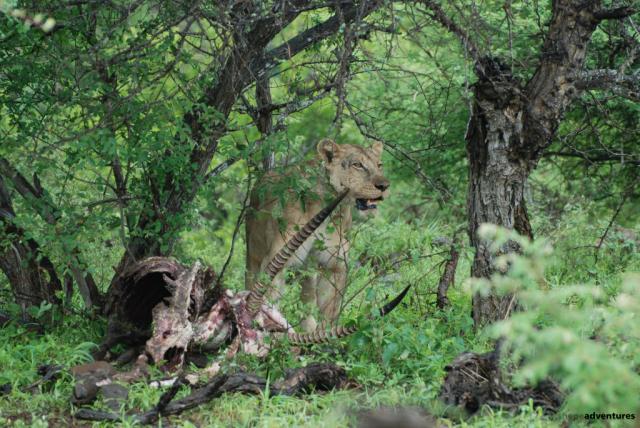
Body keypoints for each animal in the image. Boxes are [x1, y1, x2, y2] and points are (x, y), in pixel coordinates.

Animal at [245, 139, 390, 332]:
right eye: (357, 165)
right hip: (254, 256)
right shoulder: (276, 262)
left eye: (379, 165)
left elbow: (329, 312)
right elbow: (269, 301)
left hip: (307, 270)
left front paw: (325, 337)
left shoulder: (334, 266)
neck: (330, 210)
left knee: (307, 301)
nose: (384, 186)